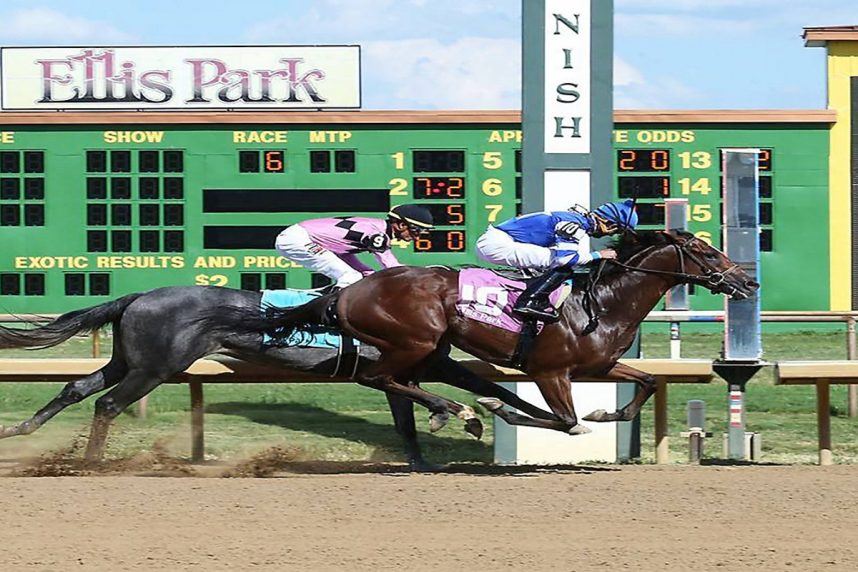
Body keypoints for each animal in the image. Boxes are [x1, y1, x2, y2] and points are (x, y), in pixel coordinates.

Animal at [0, 286, 548, 470]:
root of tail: (136, 297)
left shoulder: (406, 370)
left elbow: (410, 419)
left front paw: (424, 459)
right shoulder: (412, 365)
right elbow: (467, 390)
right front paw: (466, 416)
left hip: (128, 360)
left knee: (77, 387)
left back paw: (21, 431)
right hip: (156, 368)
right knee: (108, 404)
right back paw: (91, 463)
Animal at [216, 231, 756, 434]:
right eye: (707, 252)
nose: (748, 281)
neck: (600, 304)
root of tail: (347, 292)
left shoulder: (598, 365)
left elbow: (645, 383)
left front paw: (608, 412)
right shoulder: (550, 370)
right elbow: (562, 420)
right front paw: (500, 410)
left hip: (429, 347)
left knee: (400, 379)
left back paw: (454, 410)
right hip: (413, 339)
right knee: (378, 378)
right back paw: (452, 410)